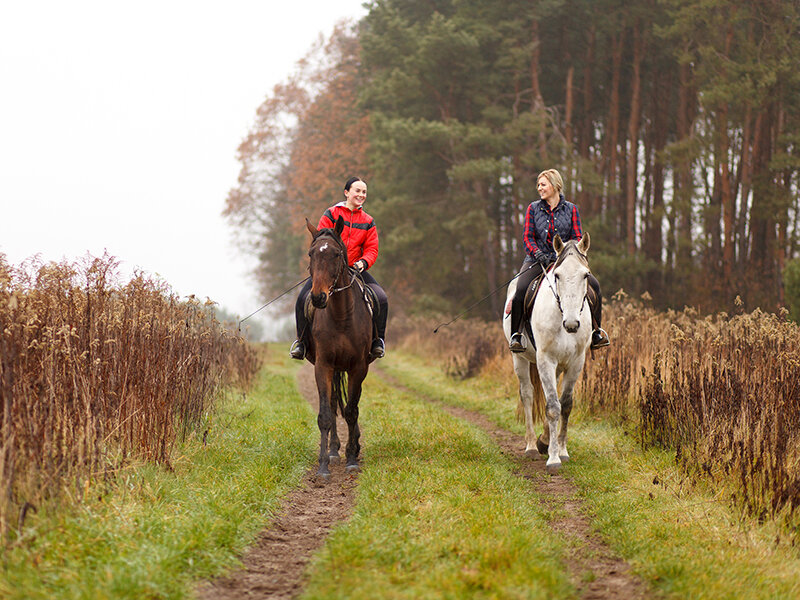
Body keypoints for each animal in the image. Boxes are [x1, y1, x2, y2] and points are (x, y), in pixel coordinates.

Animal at [304, 214, 374, 478]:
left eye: (335, 254)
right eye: (311, 254)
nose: (318, 297)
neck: (342, 315)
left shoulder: (359, 367)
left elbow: (352, 411)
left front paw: (352, 458)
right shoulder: (323, 365)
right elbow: (326, 414)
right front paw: (324, 465)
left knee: (351, 405)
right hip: (334, 369)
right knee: (334, 403)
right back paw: (334, 449)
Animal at [504, 234, 592, 474]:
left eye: (585, 275)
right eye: (557, 275)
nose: (572, 324)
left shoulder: (575, 362)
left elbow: (566, 405)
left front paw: (561, 450)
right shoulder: (546, 360)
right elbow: (552, 407)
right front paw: (553, 459)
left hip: (559, 366)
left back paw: (543, 441)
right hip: (520, 359)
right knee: (527, 395)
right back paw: (532, 446)